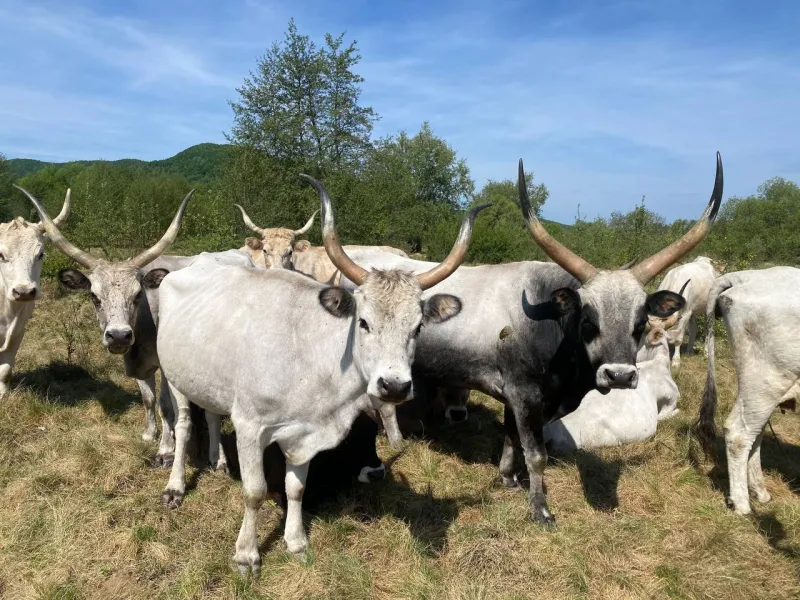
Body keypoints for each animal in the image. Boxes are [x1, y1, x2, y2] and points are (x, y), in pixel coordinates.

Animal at [153, 175, 485, 573]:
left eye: (418, 327)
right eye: (363, 322)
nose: (393, 385)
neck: (311, 359)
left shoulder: (305, 433)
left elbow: (297, 488)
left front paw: (296, 542)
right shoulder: (250, 426)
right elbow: (255, 492)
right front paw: (247, 554)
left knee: (213, 415)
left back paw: (217, 461)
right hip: (175, 377)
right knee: (185, 424)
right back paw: (175, 486)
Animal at [699, 267, 800, 515]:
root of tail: (744, 276)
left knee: (756, 433)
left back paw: (759, 491)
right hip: (766, 381)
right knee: (739, 434)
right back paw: (742, 504)